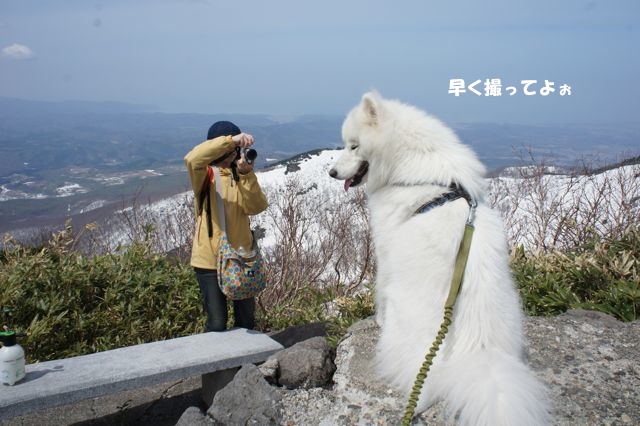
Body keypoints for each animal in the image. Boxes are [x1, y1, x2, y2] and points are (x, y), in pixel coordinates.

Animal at [330, 92, 552, 426]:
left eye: (353, 146)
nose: (331, 173)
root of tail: (476, 350)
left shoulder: (385, 249)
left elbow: (379, 289)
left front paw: (377, 317)